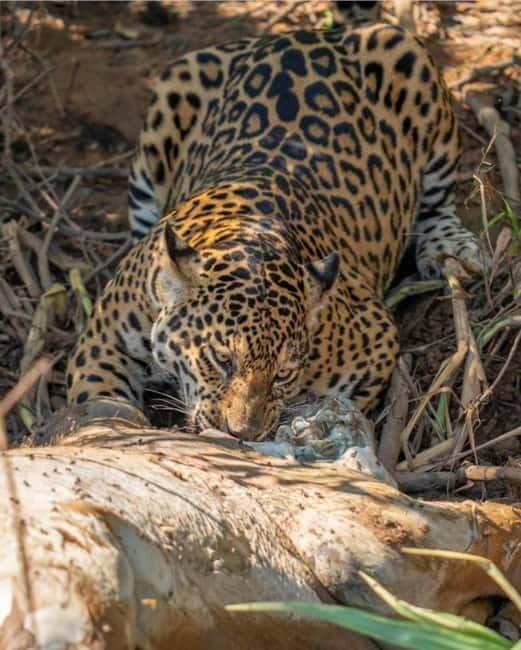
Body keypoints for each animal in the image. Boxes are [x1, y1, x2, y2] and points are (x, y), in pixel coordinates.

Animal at [66, 23, 487, 440]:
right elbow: (96, 400)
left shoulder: (376, 339)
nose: (243, 433)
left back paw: (453, 250)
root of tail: (305, 34)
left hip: (406, 60)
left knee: (437, 205)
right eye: (222, 359)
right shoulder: (102, 343)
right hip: (174, 92)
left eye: (282, 372)